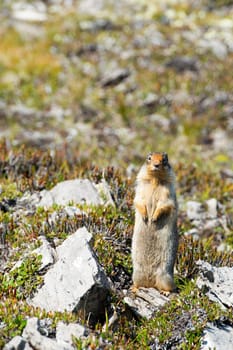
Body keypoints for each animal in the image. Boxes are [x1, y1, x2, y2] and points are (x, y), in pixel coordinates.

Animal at [131, 152, 178, 292]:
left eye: (165, 159)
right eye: (149, 158)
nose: (156, 165)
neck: (155, 180)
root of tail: (151, 283)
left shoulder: (168, 193)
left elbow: (165, 205)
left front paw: (154, 218)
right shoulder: (140, 189)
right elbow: (138, 200)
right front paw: (146, 217)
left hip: (165, 276)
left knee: (169, 287)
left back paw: (165, 292)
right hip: (137, 273)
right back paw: (134, 288)